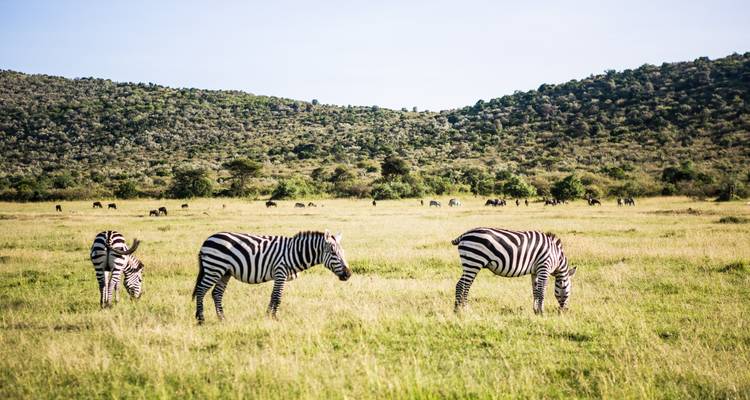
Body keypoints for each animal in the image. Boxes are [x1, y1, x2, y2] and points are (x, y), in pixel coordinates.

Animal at [193, 230, 352, 322]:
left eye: (343, 252)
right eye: (333, 253)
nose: (348, 274)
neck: (294, 253)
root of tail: (207, 240)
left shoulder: (280, 275)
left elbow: (273, 296)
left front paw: (268, 316)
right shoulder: (280, 272)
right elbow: (277, 296)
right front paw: (275, 317)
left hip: (224, 272)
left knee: (216, 293)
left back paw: (222, 318)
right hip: (214, 268)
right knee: (201, 290)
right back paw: (201, 319)